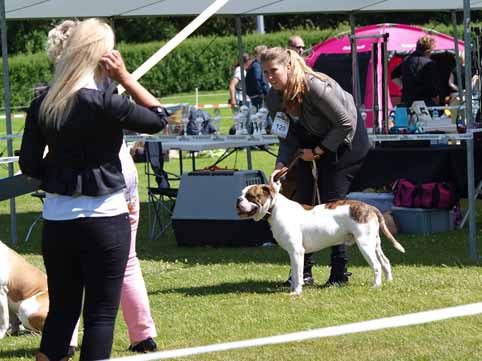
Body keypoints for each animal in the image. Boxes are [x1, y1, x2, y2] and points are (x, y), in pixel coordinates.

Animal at [235, 173, 404, 294]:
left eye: (250, 196)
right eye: (242, 194)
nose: (238, 199)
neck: (275, 207)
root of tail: (370, 207)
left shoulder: (297, 251)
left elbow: (298, 274)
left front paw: (296, 292)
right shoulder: (293, 253)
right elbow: (295, 272)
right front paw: (293, 288)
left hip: (365, 245)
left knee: (376, 265)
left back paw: (376, 285)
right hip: (374, 243)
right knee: (385, 261)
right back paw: (389, 282)